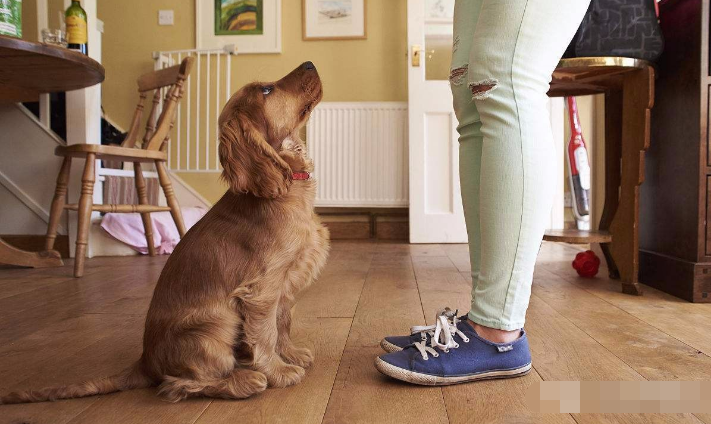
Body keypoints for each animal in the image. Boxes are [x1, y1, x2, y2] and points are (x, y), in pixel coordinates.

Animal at [1, 60, 330, 404]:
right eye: (266, 89)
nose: (310, 63)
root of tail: (145, 361)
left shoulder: (286, 283)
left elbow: (283, 320)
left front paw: (291, 354)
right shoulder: (262, 289)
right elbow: (265, 332)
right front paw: (279, 371)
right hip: (214, 328)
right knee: (178, 384)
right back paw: (245, 381)